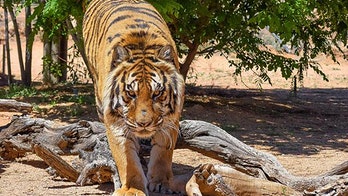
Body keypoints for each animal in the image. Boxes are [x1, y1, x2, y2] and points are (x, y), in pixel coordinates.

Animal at [82, 0, 185, 195]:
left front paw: (161, 183)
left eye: (157, 93)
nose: (143, 124)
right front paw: (132, 188)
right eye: (131, 93)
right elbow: (125, 157)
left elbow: (163, 153)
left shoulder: (171, 119)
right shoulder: (115, 121)